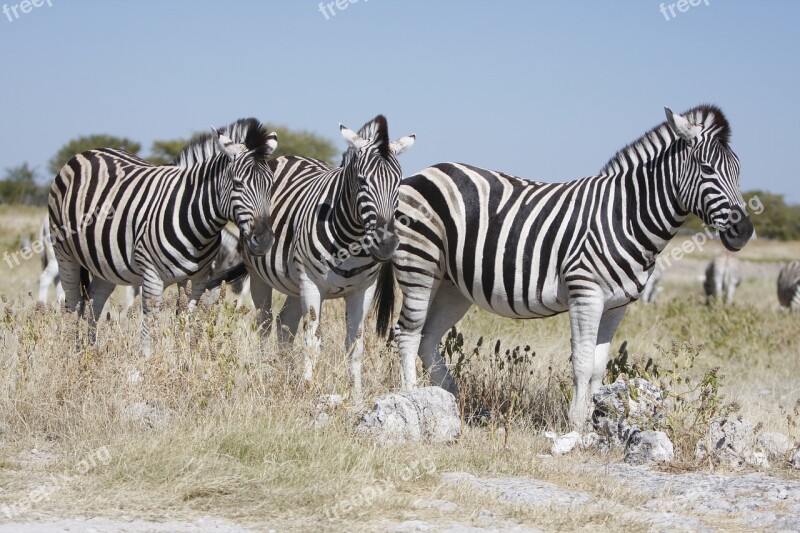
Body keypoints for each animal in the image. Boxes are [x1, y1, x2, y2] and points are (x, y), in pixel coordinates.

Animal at [48, 116, 278, 344]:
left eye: (271, 185)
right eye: (238, 184)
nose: (264, 240)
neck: (197, 222)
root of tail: (88, 152)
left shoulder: (197, 281)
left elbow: (185, 325)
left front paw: (182, 354)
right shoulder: (152, 278)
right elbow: (148, 332)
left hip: (104, 264)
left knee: (94, 302)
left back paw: (90, 348)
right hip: (65, 255)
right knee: (72, 305)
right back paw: (71, 349)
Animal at [209, 116, 416, 400]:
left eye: (398, 182)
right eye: (362, 181)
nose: (385, 244)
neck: (350, 237)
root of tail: (291, 156)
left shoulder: (363, 289)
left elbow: (355, 344)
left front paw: (356, 394)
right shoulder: (311, 283)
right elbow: (312, 340)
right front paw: (308, 387)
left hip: (294, 284)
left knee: (285, 322)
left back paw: (284, 372)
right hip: (261, 275)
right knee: (264, 323)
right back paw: (264, 370)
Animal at [374, 104, 752, 428]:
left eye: (738, 171)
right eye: (707, 169)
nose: (744, 231)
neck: (625, 216)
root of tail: (421, 173)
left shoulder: (616, 306)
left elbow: (598, 367)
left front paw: (594, 420)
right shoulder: (586, 294)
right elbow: (582, 364)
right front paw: (576, 424)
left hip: (452, 284)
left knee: (428, 338)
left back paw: (452, 400)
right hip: (419, 264)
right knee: (407, 333)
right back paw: (413, 399)